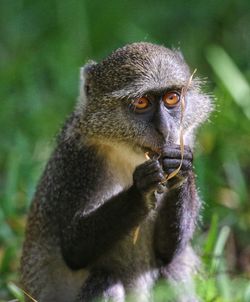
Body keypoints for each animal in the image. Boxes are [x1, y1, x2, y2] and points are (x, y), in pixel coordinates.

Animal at [20, 41, 213, 300]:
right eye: (142, 102)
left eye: (172, 98)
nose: (165, 129)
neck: (126, 151)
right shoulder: (77, 161)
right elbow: (72, 249)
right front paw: (142, 188)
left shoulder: (184, 139)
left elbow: (167, 252)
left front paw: (179, 167)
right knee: (105, 279)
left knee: (172, 268)